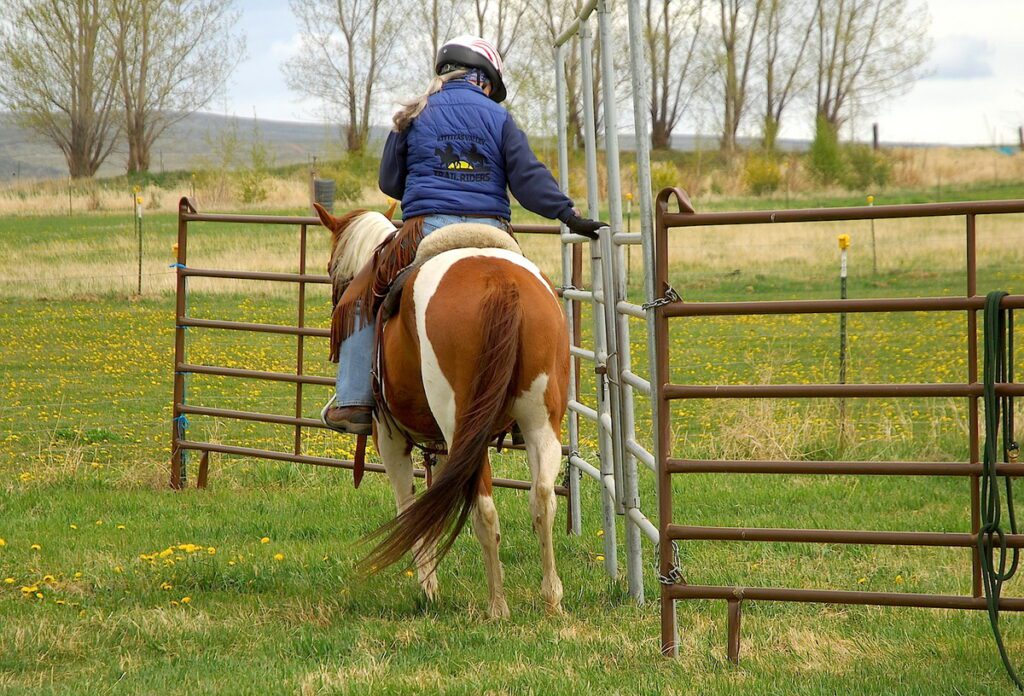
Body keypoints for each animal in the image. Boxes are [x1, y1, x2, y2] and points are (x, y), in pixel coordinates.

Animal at [313, 203, 569, 618]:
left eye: (332, 267)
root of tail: (500, 283)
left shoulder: (390, 438)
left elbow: (409, 507)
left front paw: (429, 588)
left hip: (461, 425)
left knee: (485, 509)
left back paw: (497, 604)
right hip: (540, 421)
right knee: (542, 499)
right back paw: (551, 599)